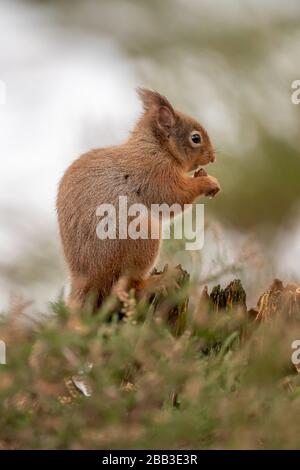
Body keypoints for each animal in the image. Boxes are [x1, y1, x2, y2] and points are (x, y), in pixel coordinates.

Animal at [56, 88, 220, 310]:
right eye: (196, 138)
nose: (212, 157)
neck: (157, 147)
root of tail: (89, 277)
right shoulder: (156, 173)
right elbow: (173, 197)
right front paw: (208, 182)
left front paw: (202, 175)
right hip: (143, 234)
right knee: (129, 284)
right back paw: (156, 281)